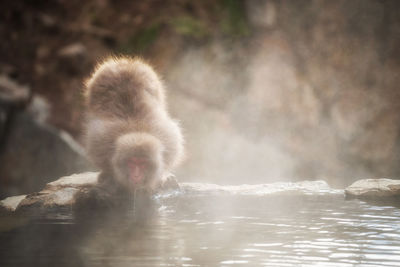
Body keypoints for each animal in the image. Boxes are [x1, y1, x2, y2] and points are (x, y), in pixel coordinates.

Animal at [85, 57, 185, 195]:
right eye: (131, 162)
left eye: (142, 163)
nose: (136, 175)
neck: (137, 130)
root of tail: (127, 62)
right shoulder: (101, 142)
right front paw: (109, 175)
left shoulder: (169, 141)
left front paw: (162, 177)